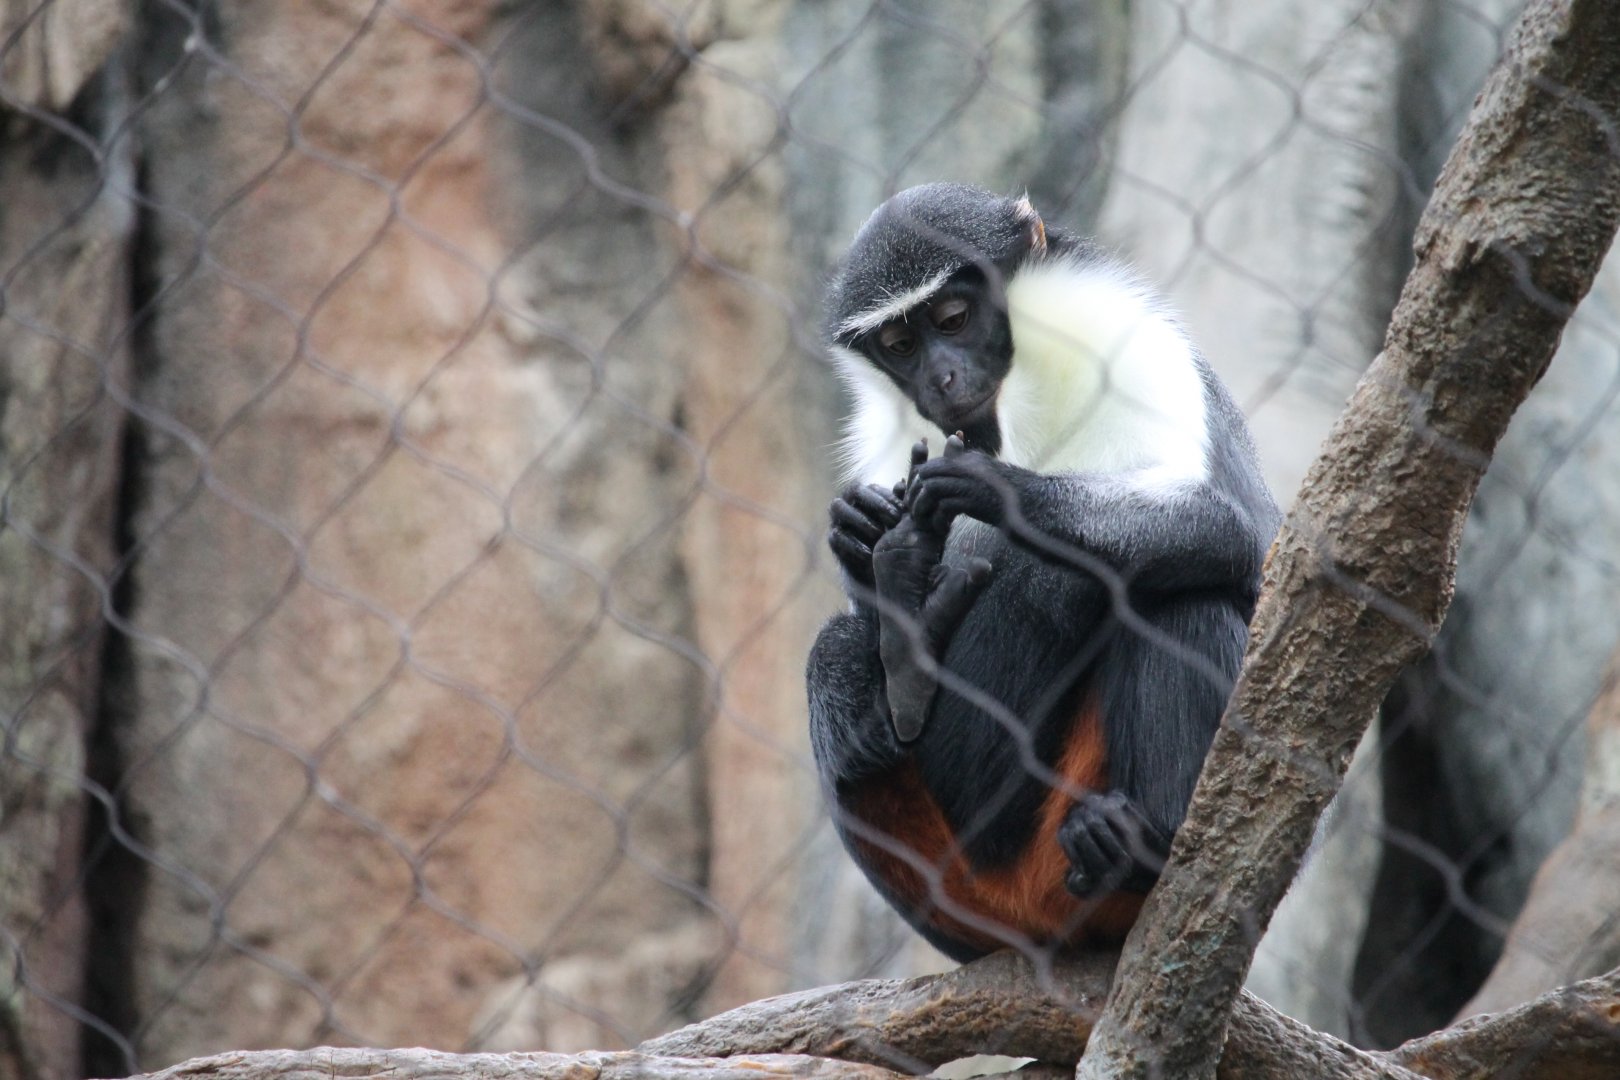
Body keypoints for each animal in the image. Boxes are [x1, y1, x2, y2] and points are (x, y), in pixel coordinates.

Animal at [806, 183, 1280, 961]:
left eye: (953, 319)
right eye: (899, 346)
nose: (940, 379)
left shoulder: (1128, 341)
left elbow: (1235, 531)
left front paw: (994, 490)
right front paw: (862, 533)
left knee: (1174, 594)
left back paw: (1135, 848)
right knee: (833, 655)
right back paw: (903, 649)